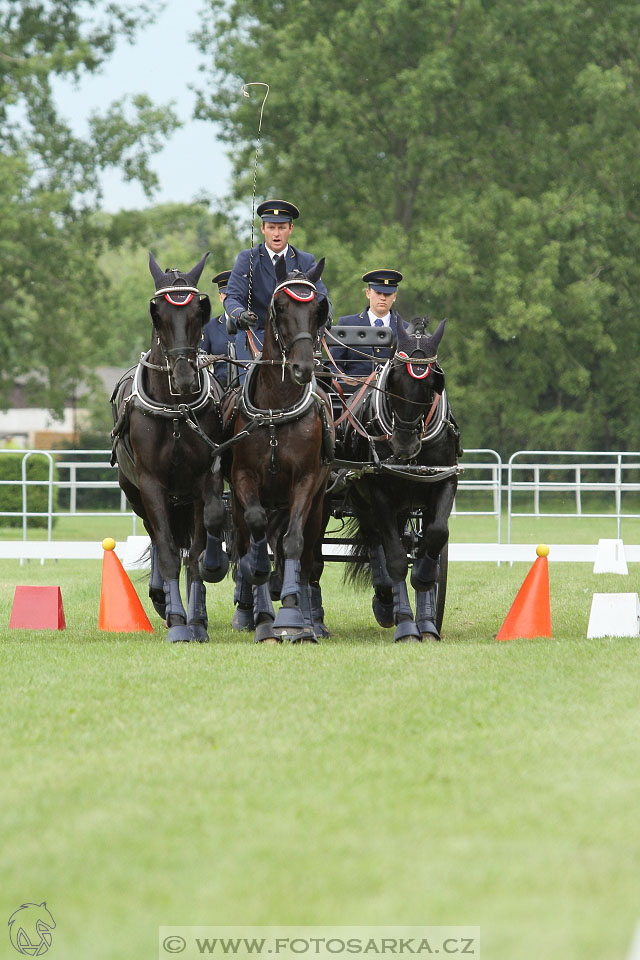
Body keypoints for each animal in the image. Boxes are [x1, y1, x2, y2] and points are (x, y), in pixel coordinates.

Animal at [111, 255, 229, 640]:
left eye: (197, 311)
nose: (185, 378)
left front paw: (196, 619)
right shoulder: (151, 484)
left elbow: (197, 549)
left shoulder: (203, 480)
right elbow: (166, 552)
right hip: (135, 493)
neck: (176, 410)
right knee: (157, 537)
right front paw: (177, 620)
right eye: (158, 313)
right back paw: (161, 597)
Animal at [224, 258, 336, 640]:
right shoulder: (243, 478)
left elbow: (293, 543)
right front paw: (262, 604)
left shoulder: (305, 480)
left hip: (318, 504)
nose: (303, 368)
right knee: (245, 540)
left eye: (318, 310)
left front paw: (291, 612)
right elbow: (255, 532)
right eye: (281, 306)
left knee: (309, 554)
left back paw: (308, 614)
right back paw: (250, 611)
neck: (277, 407)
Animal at [336, 318, 460, 640]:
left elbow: (436, 535)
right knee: (375, 542)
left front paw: (425, 587)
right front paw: (405, 623)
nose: (403, 444)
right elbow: (393, 558)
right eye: (393, 382)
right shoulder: (380, 495)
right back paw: (385, 600)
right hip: (362, 498)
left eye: (432, 386)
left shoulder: (444, 481)